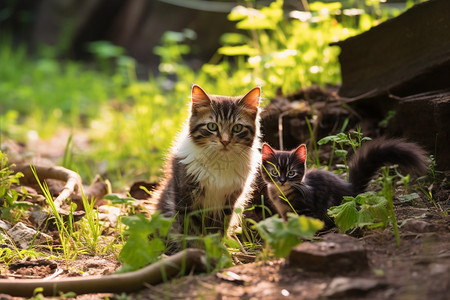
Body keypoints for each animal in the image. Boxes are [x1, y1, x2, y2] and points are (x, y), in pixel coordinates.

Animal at [154, 83, 260, 250]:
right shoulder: (187, 198)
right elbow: (191, 231)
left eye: (237, 128)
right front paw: (194, 251)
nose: (225, 141)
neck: (220, 161)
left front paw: (215, 250)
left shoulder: (228, 202)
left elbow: (218, 231)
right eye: (212, 126)